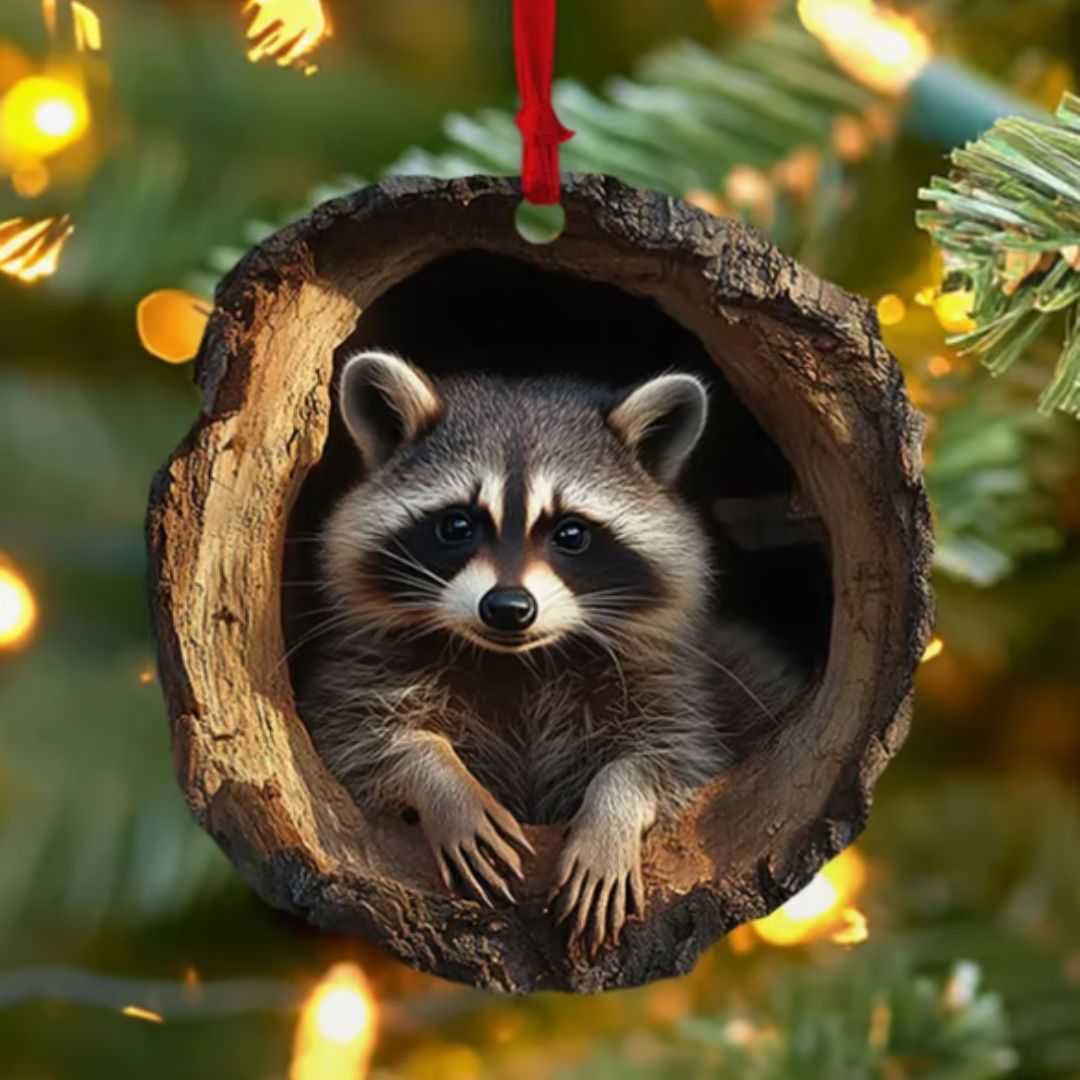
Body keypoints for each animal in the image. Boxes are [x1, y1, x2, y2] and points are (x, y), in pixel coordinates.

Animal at [298, 349, 803, 950]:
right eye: (457, 525)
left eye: (570, 533)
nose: (508, 608)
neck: (519, 660)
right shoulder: (365, 668)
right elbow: (357, 738)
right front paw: (441, 780)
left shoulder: (671, 683)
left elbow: (673, 759)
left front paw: (612, 812)